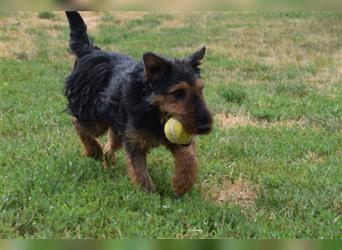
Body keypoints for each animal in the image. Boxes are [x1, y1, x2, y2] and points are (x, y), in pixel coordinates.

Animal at [64, 11, 212, 196]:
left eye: (201, 89)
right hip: (94, 117)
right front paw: (148, 195)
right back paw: (93, 150)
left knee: (108, 147)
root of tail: (88, 51)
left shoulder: (170, 140)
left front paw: (181, 184)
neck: (151, 107)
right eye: (178, 93)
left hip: (117, 127)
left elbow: (188, 157)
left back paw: (108, 164)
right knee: (78, 124)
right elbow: (140, 171)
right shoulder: (135, 143)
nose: (205, 127)